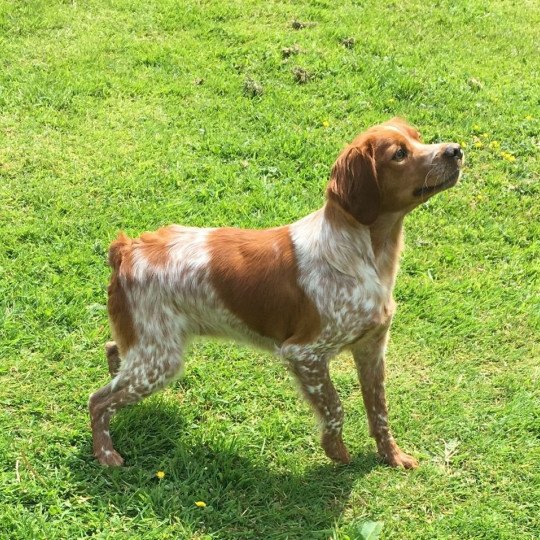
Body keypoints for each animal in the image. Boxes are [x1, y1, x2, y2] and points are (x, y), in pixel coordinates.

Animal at [89, 118, 464, 468]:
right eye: (399, 154)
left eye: (418, 137)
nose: (456, 150)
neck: (365, 254)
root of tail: (127, 249)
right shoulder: (304, 354)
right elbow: (335, 408)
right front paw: (337, 453)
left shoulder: (371, 349)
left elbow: (379, 410)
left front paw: (392, 456)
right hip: (160, 362)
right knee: (98, 400)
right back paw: (106, 454)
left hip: (149, 350)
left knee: (112, 351)